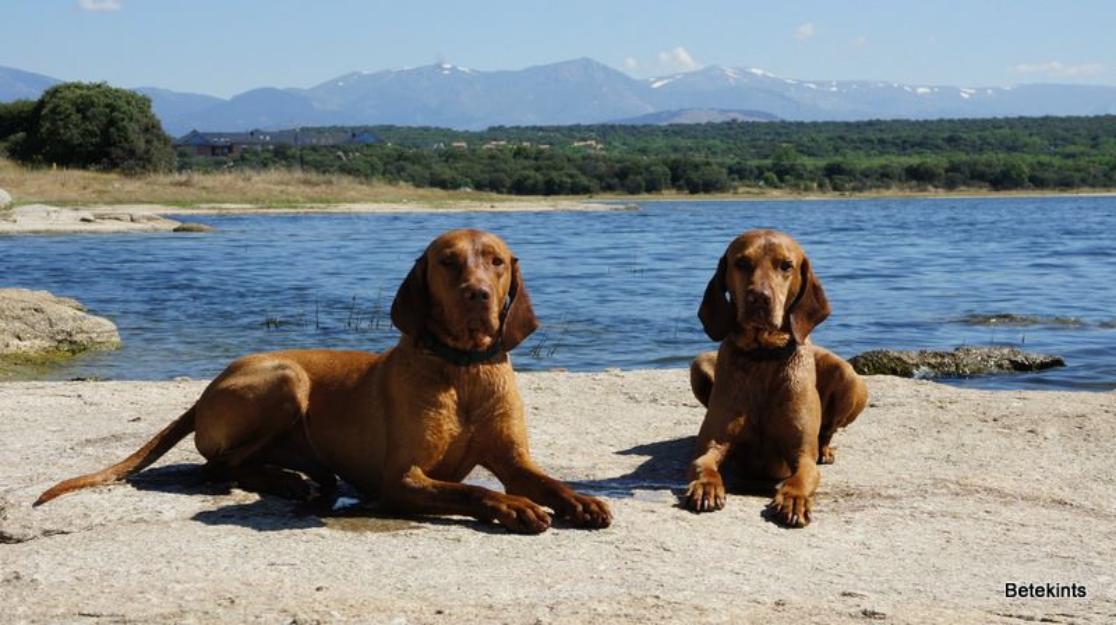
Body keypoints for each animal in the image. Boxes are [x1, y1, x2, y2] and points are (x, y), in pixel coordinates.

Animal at [34, 228, 611, 531]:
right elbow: (471, 490)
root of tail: (204, 392)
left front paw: (578, 501)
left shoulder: (513, 459)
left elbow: (544, 479)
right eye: (448, 262)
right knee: (216, 467)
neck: (461, 369)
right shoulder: (401, 479)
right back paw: (287, 482)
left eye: (495, 261)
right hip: (287, 381)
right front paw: (513, 506)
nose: (478, 295)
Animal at [678, 229, 870, 526]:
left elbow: (802, 476)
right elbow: (702, 465)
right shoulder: (714, 443)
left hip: (849, 377)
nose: (759, 298)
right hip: (699, 364)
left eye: (786, 265)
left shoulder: (801, 453)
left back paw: (825, 450)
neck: (764, 355)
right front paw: (706, 486)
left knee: (828, 430)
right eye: (742, 263)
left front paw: (794, 500)